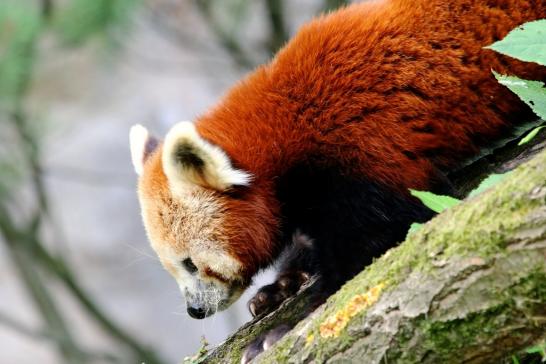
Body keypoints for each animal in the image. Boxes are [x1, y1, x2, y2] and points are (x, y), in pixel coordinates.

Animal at [129, 0, 544, 362]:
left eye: (190, 264)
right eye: (174, 267)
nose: (195, 310)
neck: (288, 123)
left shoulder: (363, 146)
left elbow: (374, 242)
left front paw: (282, 330)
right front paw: (281, 285)